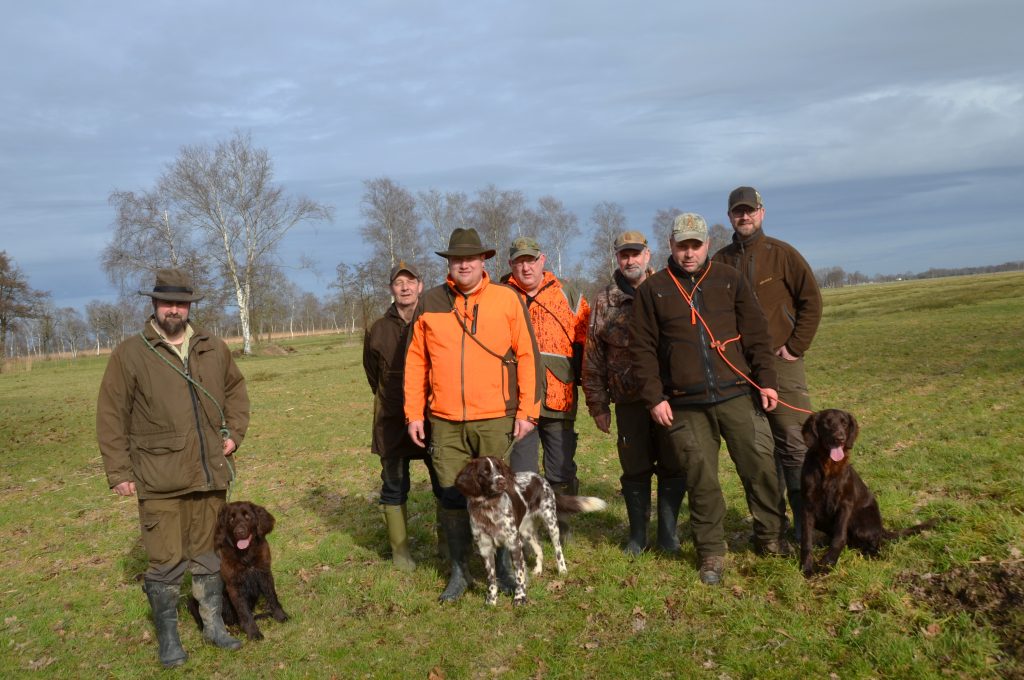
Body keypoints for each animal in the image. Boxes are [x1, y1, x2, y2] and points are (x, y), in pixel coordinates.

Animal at [188, 501, 289, 640]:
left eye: (247, 516)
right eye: (231, 519)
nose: (239, 532)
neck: (246, 555)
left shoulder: (264, 574)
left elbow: (272, 596)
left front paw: (280, 615)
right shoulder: (234, 585)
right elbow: (244, 611)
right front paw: (253, 633)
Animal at [454, 456, 606, 605]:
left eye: (499, 469)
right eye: (485, 472)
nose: (502, 481)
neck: (489, 507)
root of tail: (539, 477)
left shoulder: (514, 544)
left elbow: (519, 575)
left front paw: (520, 597)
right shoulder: (485, 548)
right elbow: (491, 579)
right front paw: (491, 600)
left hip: (551, 523)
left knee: (558, 549)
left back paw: (562, 570)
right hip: (526, 531)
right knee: (539, 548)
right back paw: (538, 570)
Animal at [799, 409, 937, 577]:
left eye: (844, 423)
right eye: (826, 423)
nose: (840, 439)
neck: (829, 467)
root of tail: (881, 527)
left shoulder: (845, 505)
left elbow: (839, 537)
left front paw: (828, 563)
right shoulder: (808, 505)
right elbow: (806, 540)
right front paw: (807, 566)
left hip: (860, 523)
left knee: (875, 543)